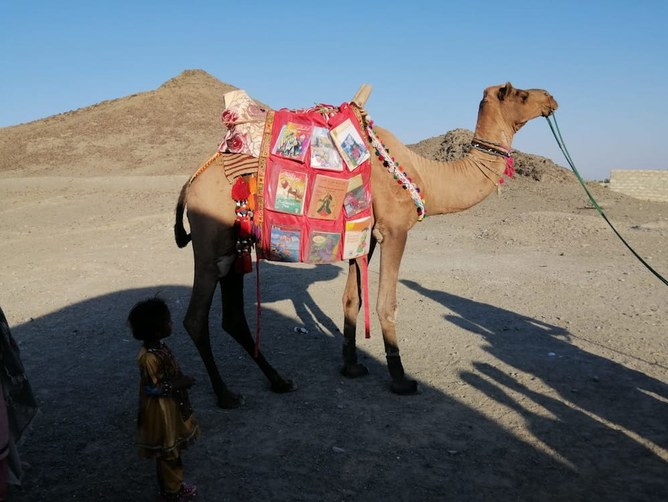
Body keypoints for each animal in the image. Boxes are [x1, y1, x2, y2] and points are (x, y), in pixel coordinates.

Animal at [174, 81, 560, 404]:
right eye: (520, 93)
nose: (550, 98)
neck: (423, 177)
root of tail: (190, 184)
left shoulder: (364, 236)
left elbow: (352, 299)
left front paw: (351, 366)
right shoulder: (395, 230)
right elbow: (386, 303)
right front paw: (400, 378)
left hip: (233, 244)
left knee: (232, 317)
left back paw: (280, 381)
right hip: (210, 242)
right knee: (194, 318)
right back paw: (227, 395)